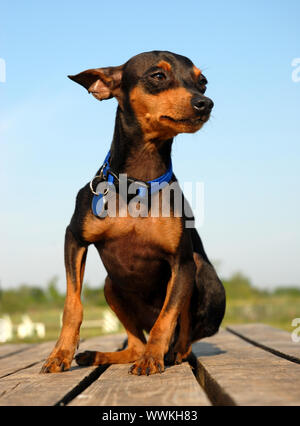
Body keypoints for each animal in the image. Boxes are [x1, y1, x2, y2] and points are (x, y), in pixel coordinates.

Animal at [41, 50, 226, 376]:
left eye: (202, 81)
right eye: (158, 76)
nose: (205, 103)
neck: (138, 184)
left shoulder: (181, 262)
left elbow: (167, 317)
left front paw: (153, 358)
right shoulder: (75, 238)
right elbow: (72, 305)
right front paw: (60, 353)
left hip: (201, 271)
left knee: (182, 333)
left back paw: (170, 353)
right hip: (111, 286)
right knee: (135, 342)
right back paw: (98, 355)